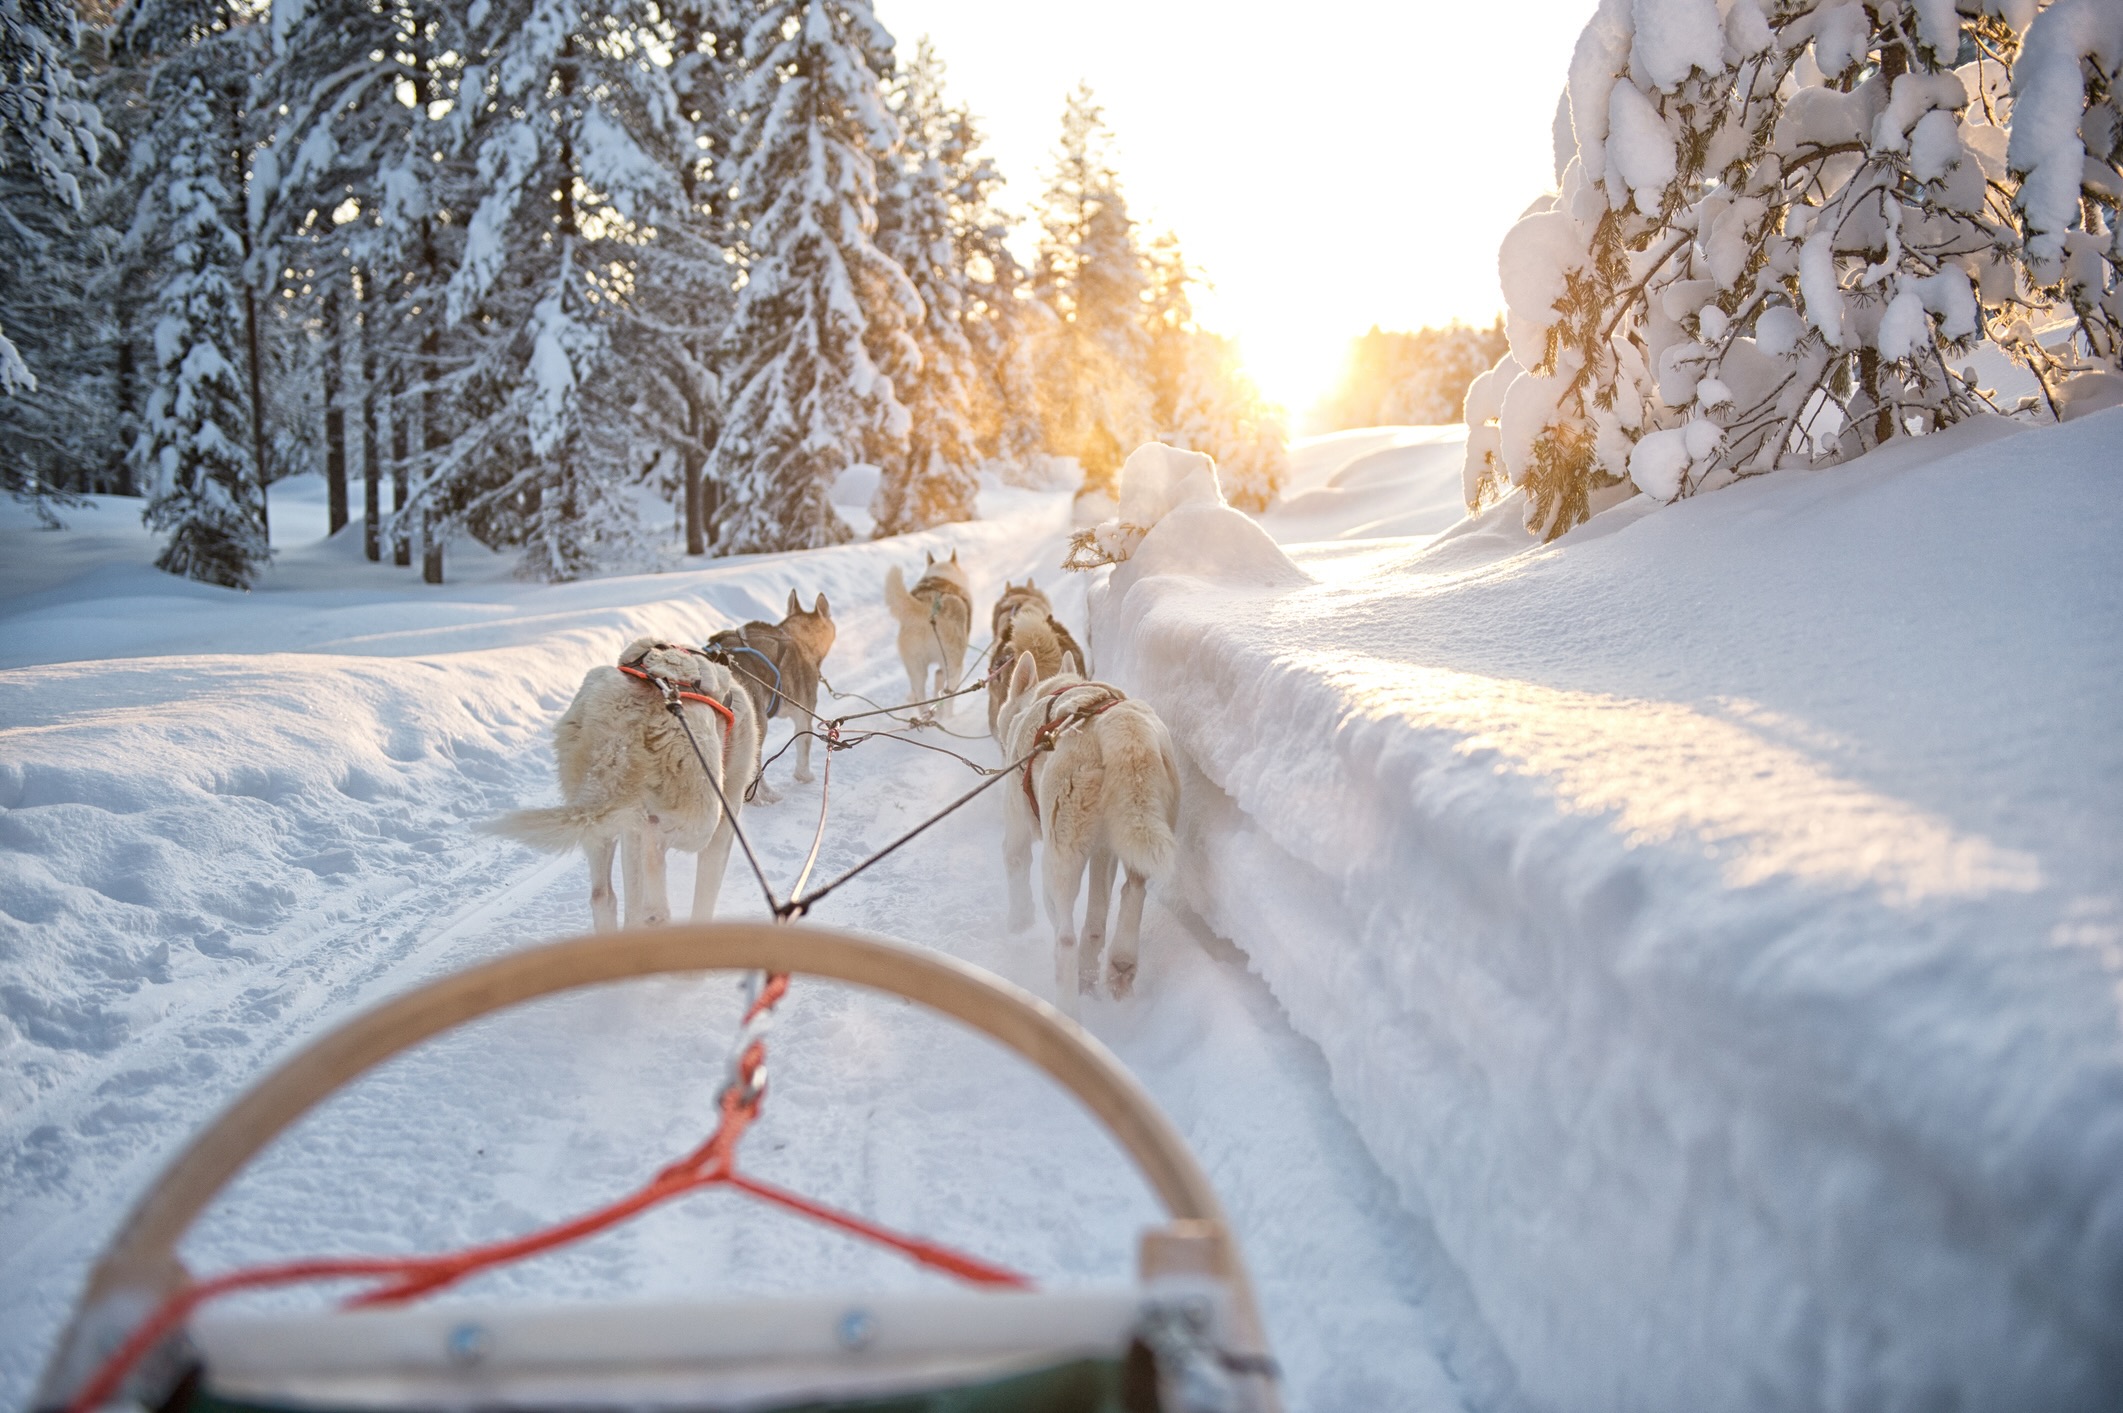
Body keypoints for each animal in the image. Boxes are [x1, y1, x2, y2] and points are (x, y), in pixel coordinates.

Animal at [488, 640, 764, 929]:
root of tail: (623, 724)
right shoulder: (725, 823)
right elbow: (704, 902)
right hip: (703, 814)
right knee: (654, 874)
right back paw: (656, 905)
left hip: (599, 812)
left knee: (604, 895)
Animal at [704, 585, 836, 801]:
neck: (797, 637)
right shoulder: (804, 713)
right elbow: (804, 742)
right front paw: (804, 776)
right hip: (758, 723)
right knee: (755, 765)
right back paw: (766, 795)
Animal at [993, 644, 1180, 1005]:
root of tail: (1120, 727)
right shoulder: (1103, 853)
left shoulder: (1017, 827)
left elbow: (1015, 865)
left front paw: (1019, 927)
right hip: (1138, 825)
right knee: (1124, 896)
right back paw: (1115, 966)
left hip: (1059, 857)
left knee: (1065, 937)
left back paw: (1067, 1006)